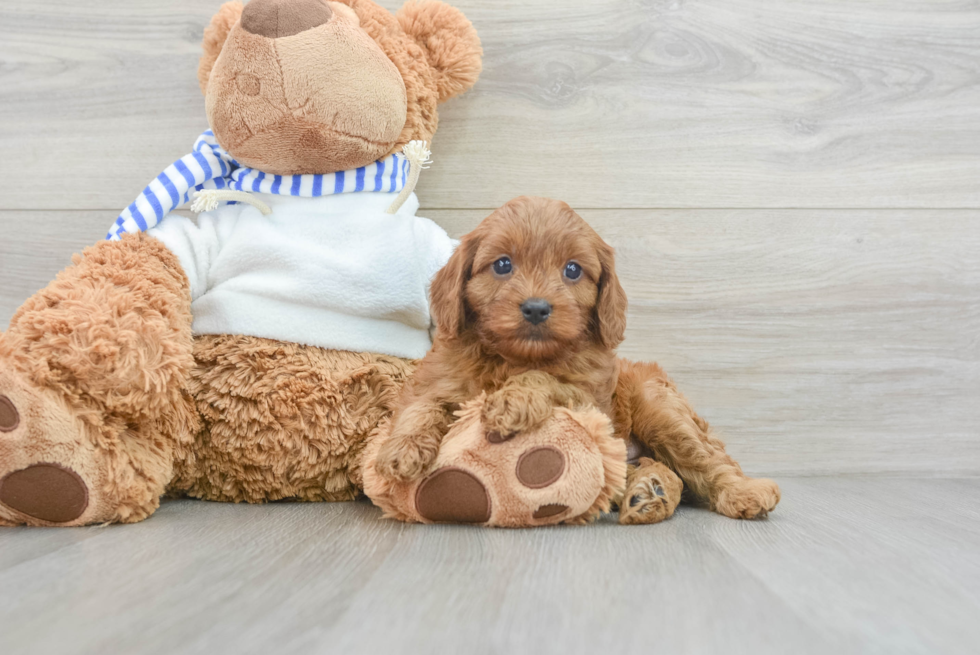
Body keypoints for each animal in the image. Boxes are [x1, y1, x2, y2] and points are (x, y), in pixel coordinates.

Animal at [376, 195, 780, 524]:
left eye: (572, 270)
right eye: (503, 265)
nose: (536, 308)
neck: (516, 356)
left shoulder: (590, 400)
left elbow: (546, 378)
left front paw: (512, 400)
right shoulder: (437, 379)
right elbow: (421, 406)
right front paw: (401, 450)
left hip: (659, 407)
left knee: (704, 460)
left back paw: (739, 492)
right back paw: (647, 493)